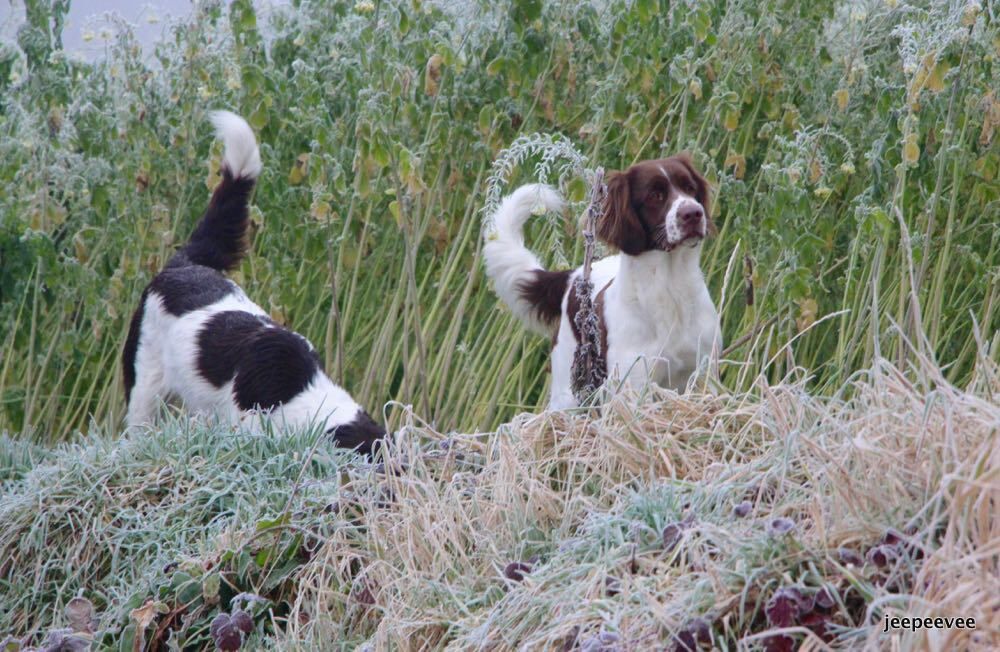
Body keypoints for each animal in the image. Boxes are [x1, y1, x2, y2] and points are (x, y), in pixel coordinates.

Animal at [484, 155, 722, 409]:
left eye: (690, 188)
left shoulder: (705, 372)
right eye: (655, 195)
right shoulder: (633, 384)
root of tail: (573, 277)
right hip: (566, 392)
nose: (694, 213)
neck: (669, 286)